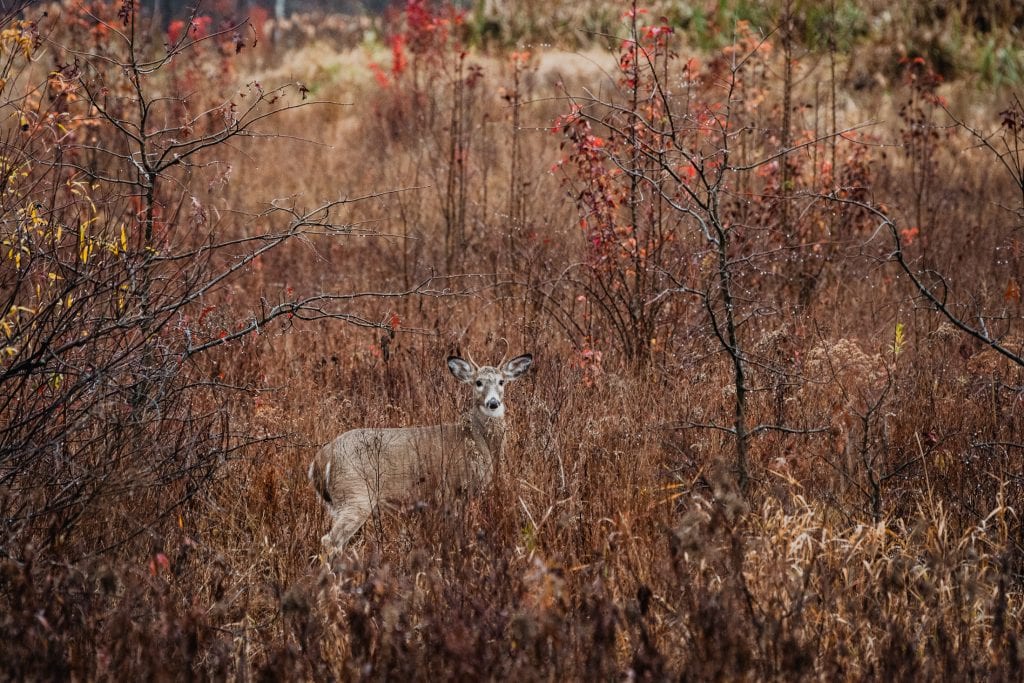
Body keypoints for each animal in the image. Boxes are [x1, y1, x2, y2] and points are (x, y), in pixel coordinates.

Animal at [308, 350, 533, 555]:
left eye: (502, 382)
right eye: (478, 382)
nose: (493, 403)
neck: (477, 440)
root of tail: (321, 459)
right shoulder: (454, 489)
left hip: (337, 502)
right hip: (355, 493)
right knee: (331, 541)